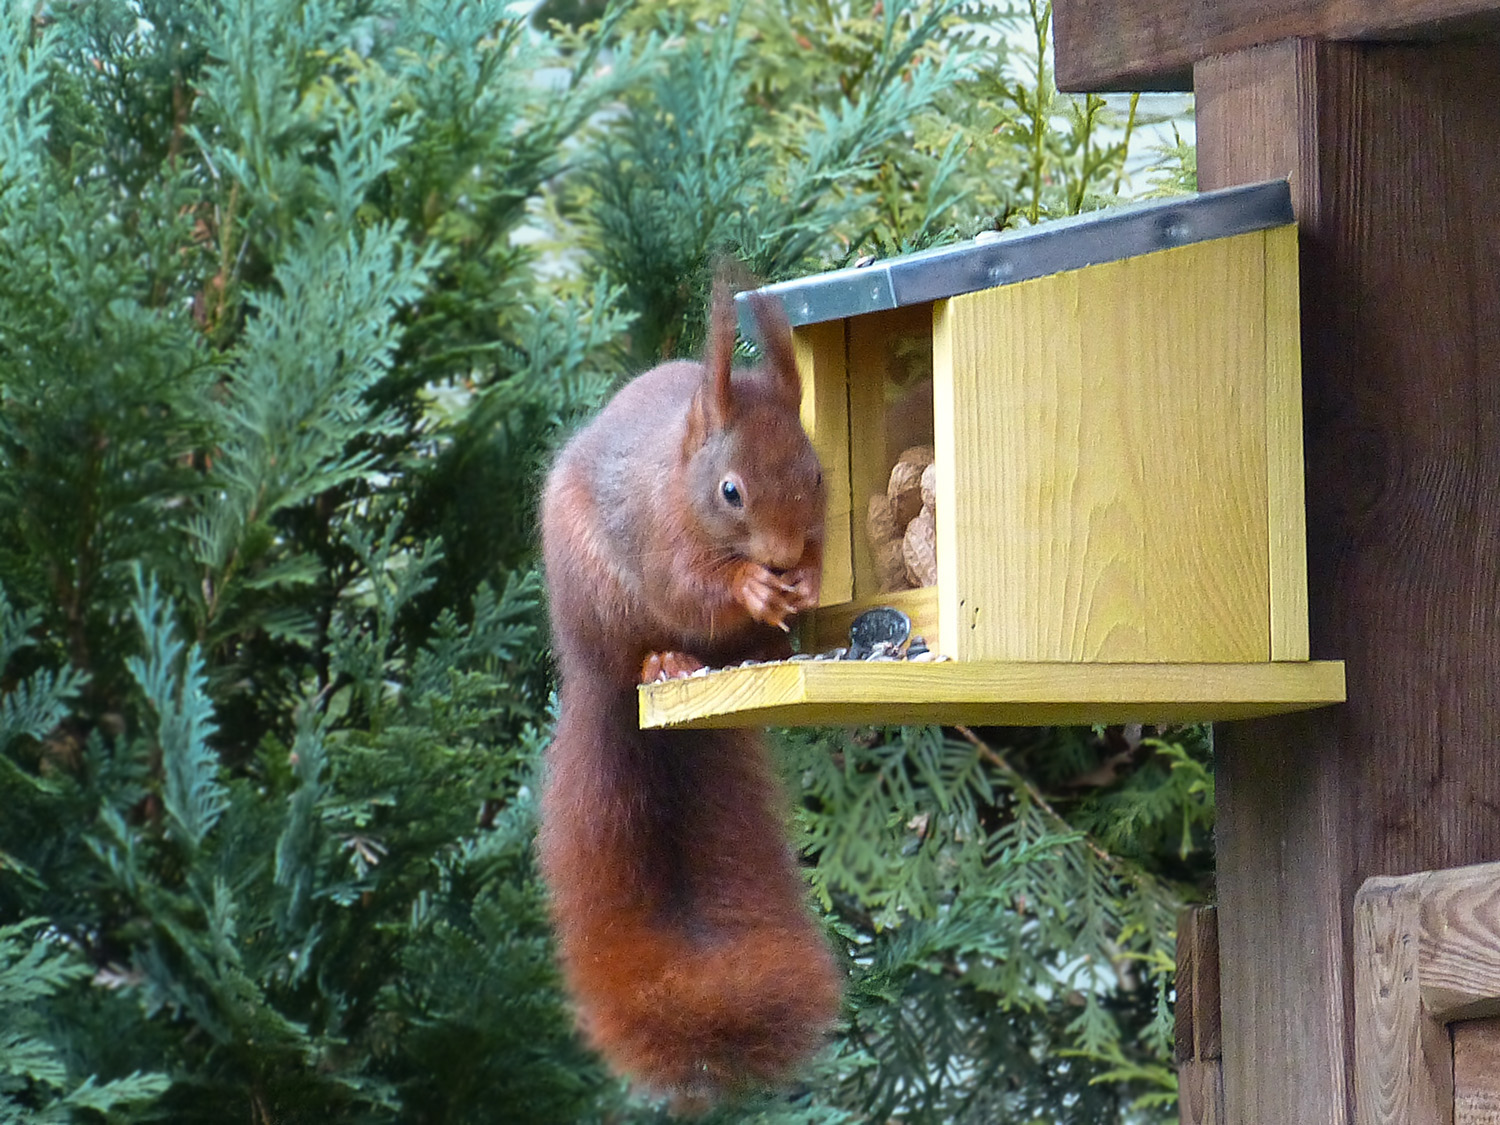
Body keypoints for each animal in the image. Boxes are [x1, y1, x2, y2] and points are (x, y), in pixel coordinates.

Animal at [536, 283, 841, 1107]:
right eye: (731, 489)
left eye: (819, 475)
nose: (783, 553)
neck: (680, 477)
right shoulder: (659, 537)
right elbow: (691, 587)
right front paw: (750, 586)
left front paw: (805, 580)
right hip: (603, 609)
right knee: (641, 650)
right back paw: (666, 660)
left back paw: (767, 646)